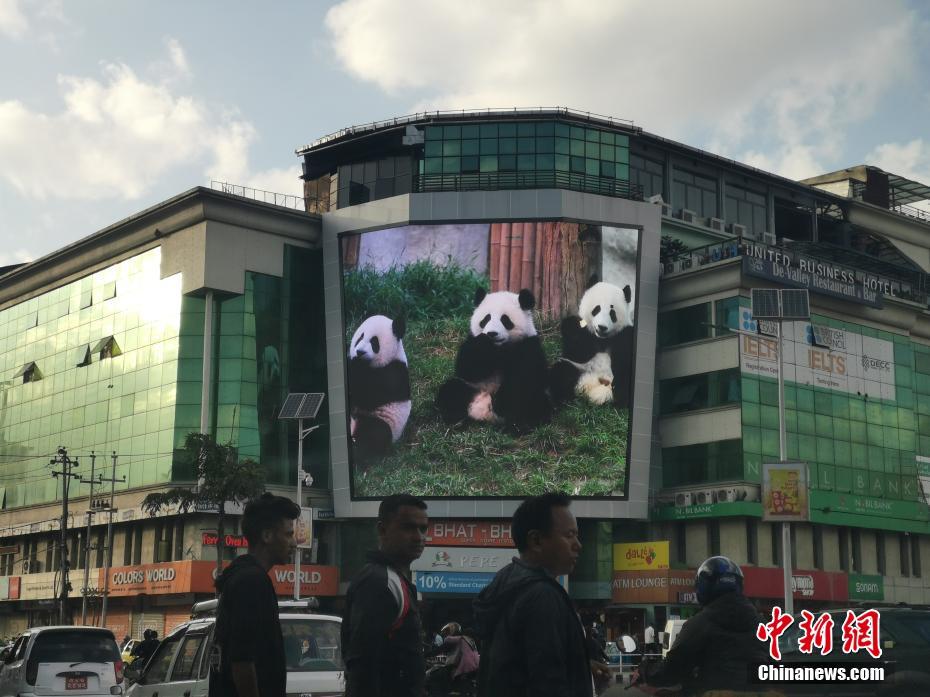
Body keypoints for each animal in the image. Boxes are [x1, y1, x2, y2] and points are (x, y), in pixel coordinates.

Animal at [436, 286, 552, 430]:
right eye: (486, 319)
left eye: (505, 320)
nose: (491, 333)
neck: (498, 349)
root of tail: (485, 412)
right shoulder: (472, 341)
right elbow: (467, 369)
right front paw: (483, 342)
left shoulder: (528, 346)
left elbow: (525, 377)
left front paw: (503, 403)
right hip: (471, 389)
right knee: (451, 391)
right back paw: (456, 420)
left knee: (534, 403)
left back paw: (518, 425)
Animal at [548, 278, 636, 408]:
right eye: (597, 309)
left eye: (612, 313)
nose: (602, 327)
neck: (602, 339)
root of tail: (591, 384)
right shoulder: (585, 338)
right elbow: (576, 351)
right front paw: (574, 326)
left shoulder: (624, 334)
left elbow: (624, 359)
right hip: (578, 369)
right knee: (561, 373)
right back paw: (563, 401)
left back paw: (618, 401)